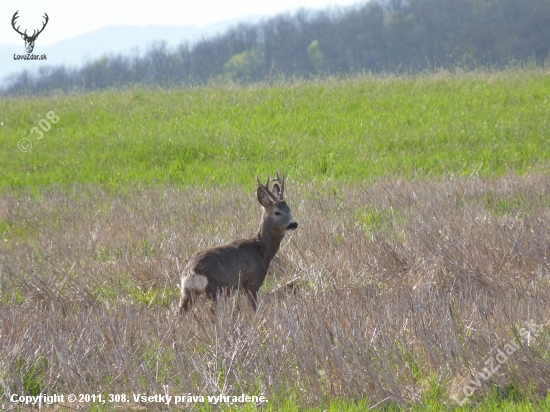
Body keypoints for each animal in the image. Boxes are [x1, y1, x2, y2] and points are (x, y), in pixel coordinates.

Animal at [180, 172, 300, 314]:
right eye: (277, 212)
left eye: (289, 209)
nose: (294, 224)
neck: (261, 250)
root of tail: (191, 271)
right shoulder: (253, 283)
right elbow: (253, 309)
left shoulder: (238, 287)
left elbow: (237, 309)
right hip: (215, 289)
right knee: (213, 312)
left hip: (187, 292)